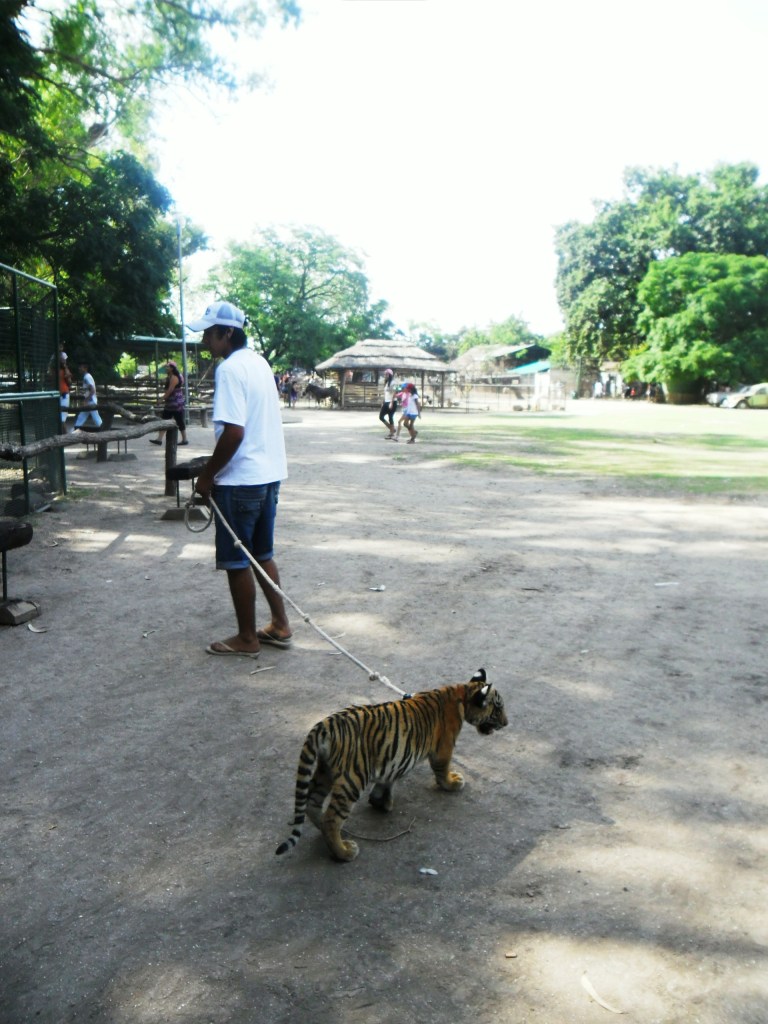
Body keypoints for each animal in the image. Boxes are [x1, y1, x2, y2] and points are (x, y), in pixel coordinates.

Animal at [275, 668, 508, 862]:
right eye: (498, 708)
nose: (506, 723)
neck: (462, 693)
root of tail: (323, 726)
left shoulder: (391, 759)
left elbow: (387, 780)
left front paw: (381, 802)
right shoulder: (444, 749)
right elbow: (442, 770)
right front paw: (453, 783)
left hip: (325, 771)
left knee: (312, 804)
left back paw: (329, 833)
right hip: (353, 778)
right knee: (332, 819)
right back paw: (344, 852)